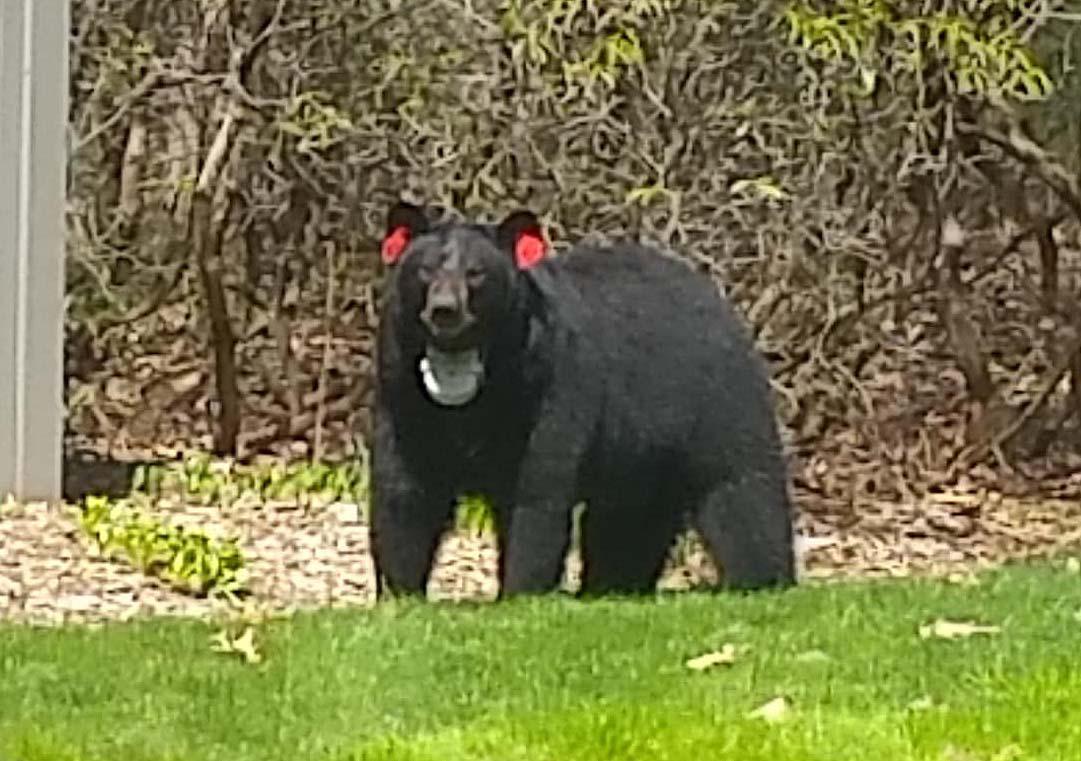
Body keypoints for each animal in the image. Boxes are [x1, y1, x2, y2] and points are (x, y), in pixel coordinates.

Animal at [368, 200, 796, 599]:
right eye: (424, 270)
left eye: (476, 273)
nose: (445, 311)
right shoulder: (402, 394)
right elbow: (406, 494)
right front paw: (399, 593)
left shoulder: (548, 388)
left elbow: (534, 494)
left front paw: (520, 591)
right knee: (630, 522)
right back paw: (612, 586)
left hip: (718, 402)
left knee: (743, 491)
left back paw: (763, 579)